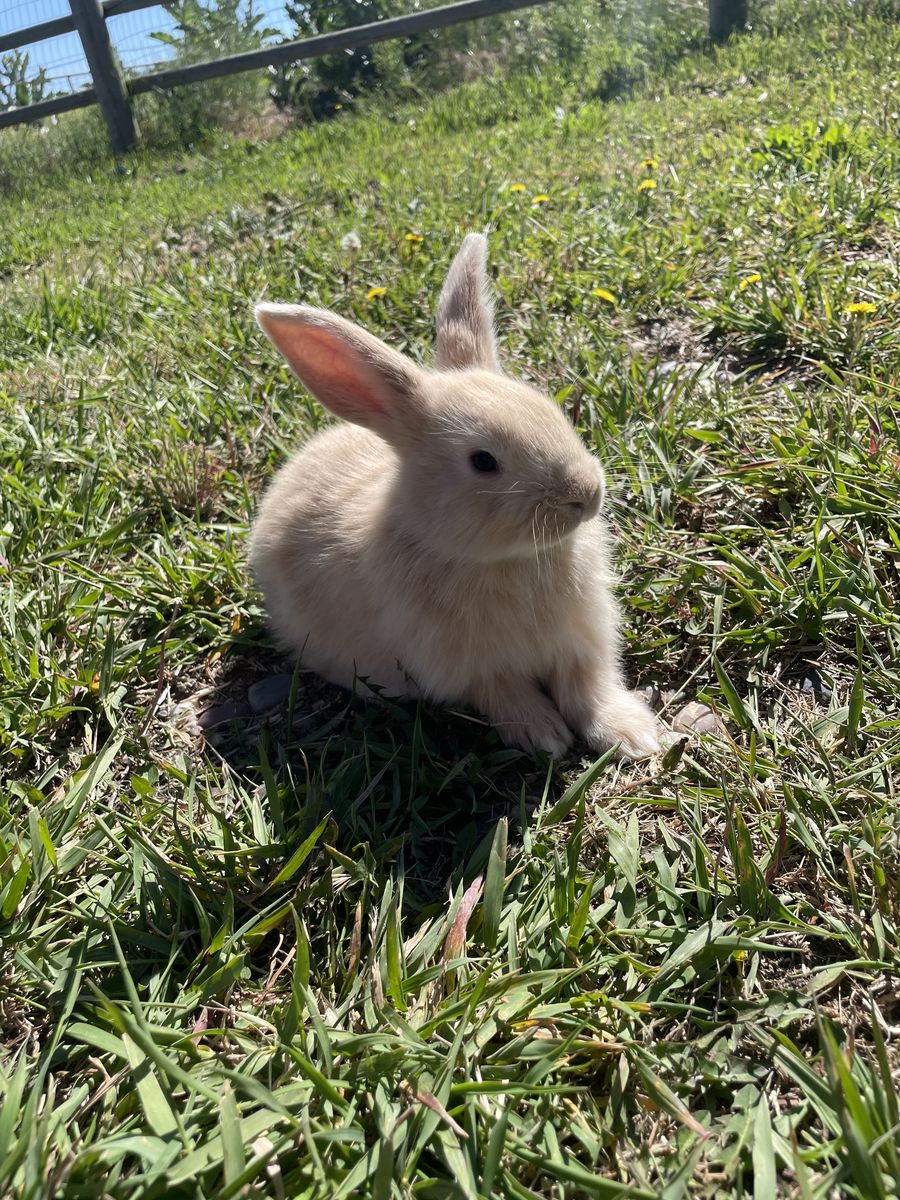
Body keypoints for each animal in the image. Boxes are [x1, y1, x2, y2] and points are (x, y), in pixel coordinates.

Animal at [249, 234, 661, 759]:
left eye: (550, 409)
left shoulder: (582, 640)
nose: (586, 495)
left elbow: (587, 686)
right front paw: (545, 737)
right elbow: (505, 693)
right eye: (483, 461)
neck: (504, 559)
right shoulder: (468, 665)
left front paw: (633, 735)